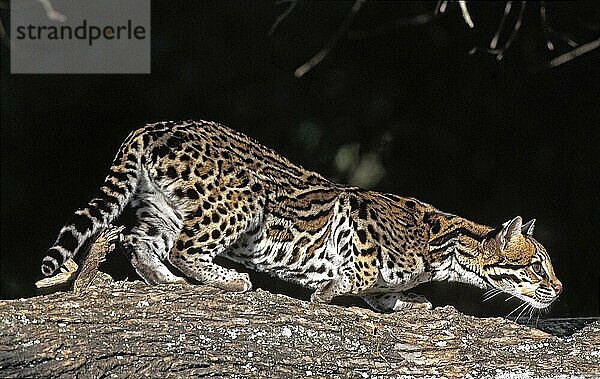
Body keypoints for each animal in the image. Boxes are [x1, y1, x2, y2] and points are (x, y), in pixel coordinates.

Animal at [42, 121, 564, 312]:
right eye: (539, 266)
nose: (560, 289)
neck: (445, 251)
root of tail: (154, 126)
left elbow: (385, 291)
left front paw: (403, 300)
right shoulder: (356, 211)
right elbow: (358, 272)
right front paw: (329, 289)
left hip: (162, 205)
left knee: (140, 241)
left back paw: (165, 281)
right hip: (240, 203)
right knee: (185, 247)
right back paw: (228, 279)